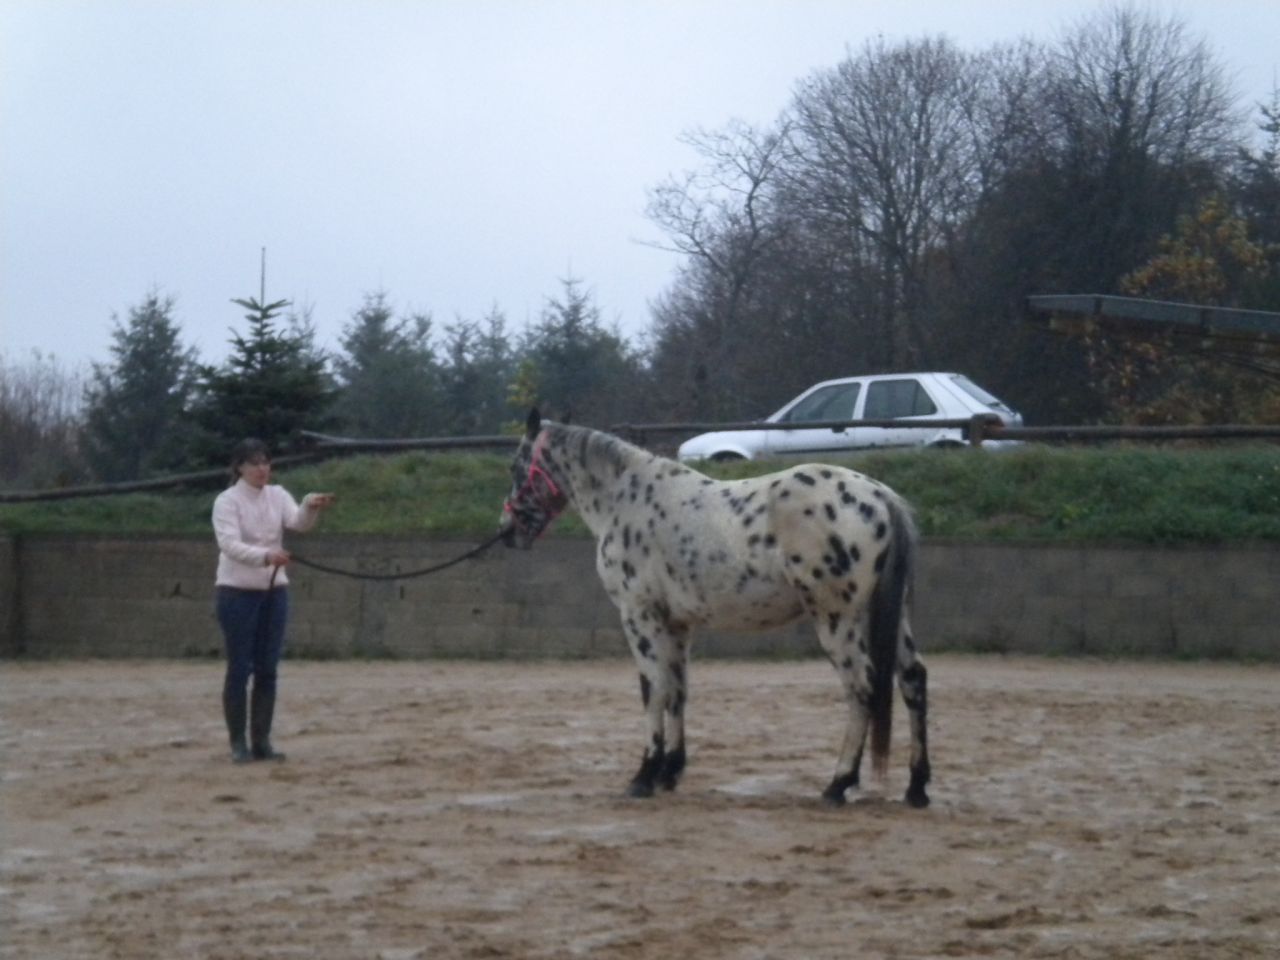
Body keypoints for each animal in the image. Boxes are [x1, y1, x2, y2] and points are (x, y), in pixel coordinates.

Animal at [499, 409, 930, 808]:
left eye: (516, 465)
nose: (507, 531)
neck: (625, 499)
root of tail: (881, 497)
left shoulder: (639, 616)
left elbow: (652, 688)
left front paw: (643, 776)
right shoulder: (677, 624)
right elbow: (677, 690)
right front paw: (669, 772)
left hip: (837, 618)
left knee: (861, 687)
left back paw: (838, 784)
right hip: (891, 619)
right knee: (912, 679)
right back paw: (916, 788)